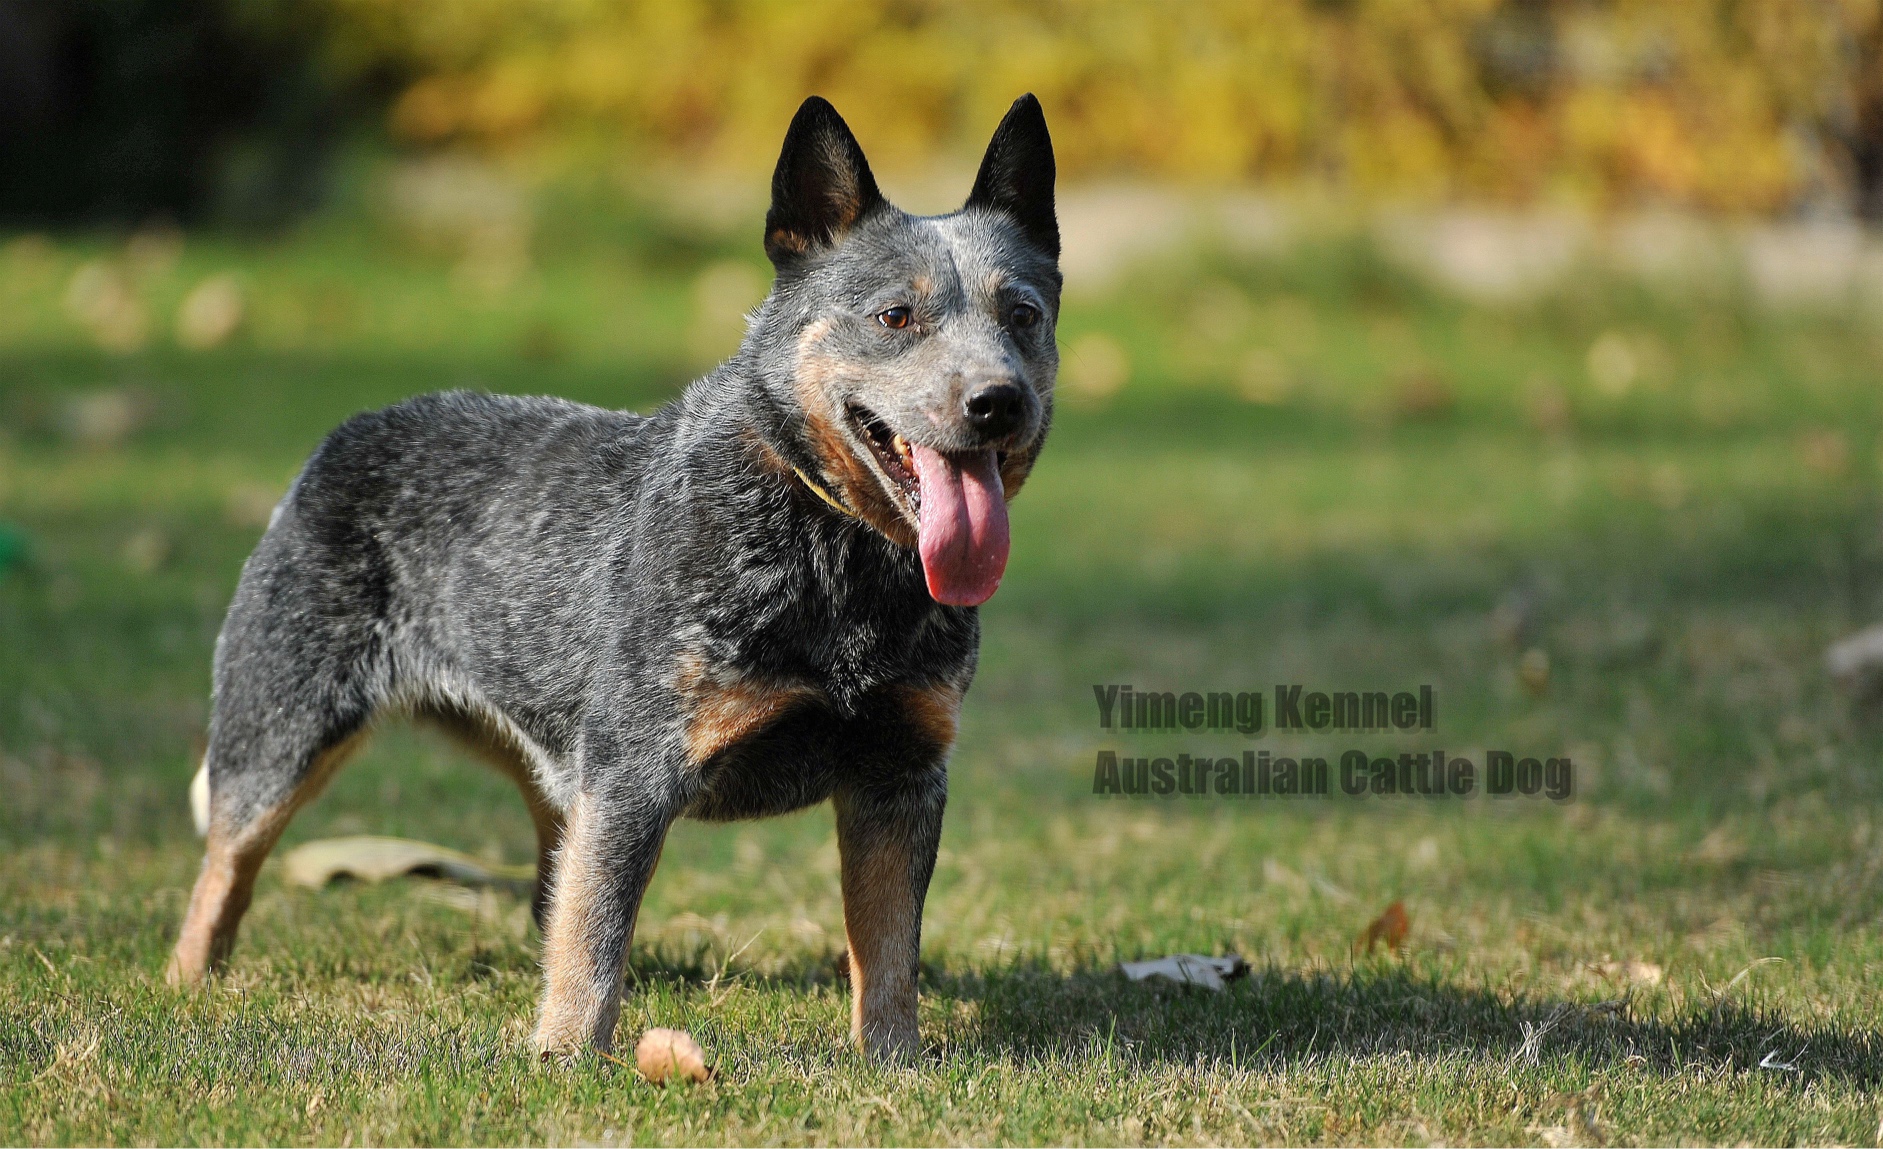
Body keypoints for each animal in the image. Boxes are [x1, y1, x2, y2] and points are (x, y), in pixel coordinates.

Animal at [165, 94, 1062, 1054]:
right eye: (896, 316)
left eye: (1022, 314)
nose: (998, 401)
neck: (831, 550)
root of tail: (344, 435)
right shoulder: (635, 769)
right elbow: (596, 936)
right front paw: (566, 1058)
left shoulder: (899, 775)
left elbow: (890, 953)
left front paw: (893, 1064)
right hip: (281, 728)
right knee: (226, 865)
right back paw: (185, 985)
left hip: (550, 764)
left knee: (549, 874)